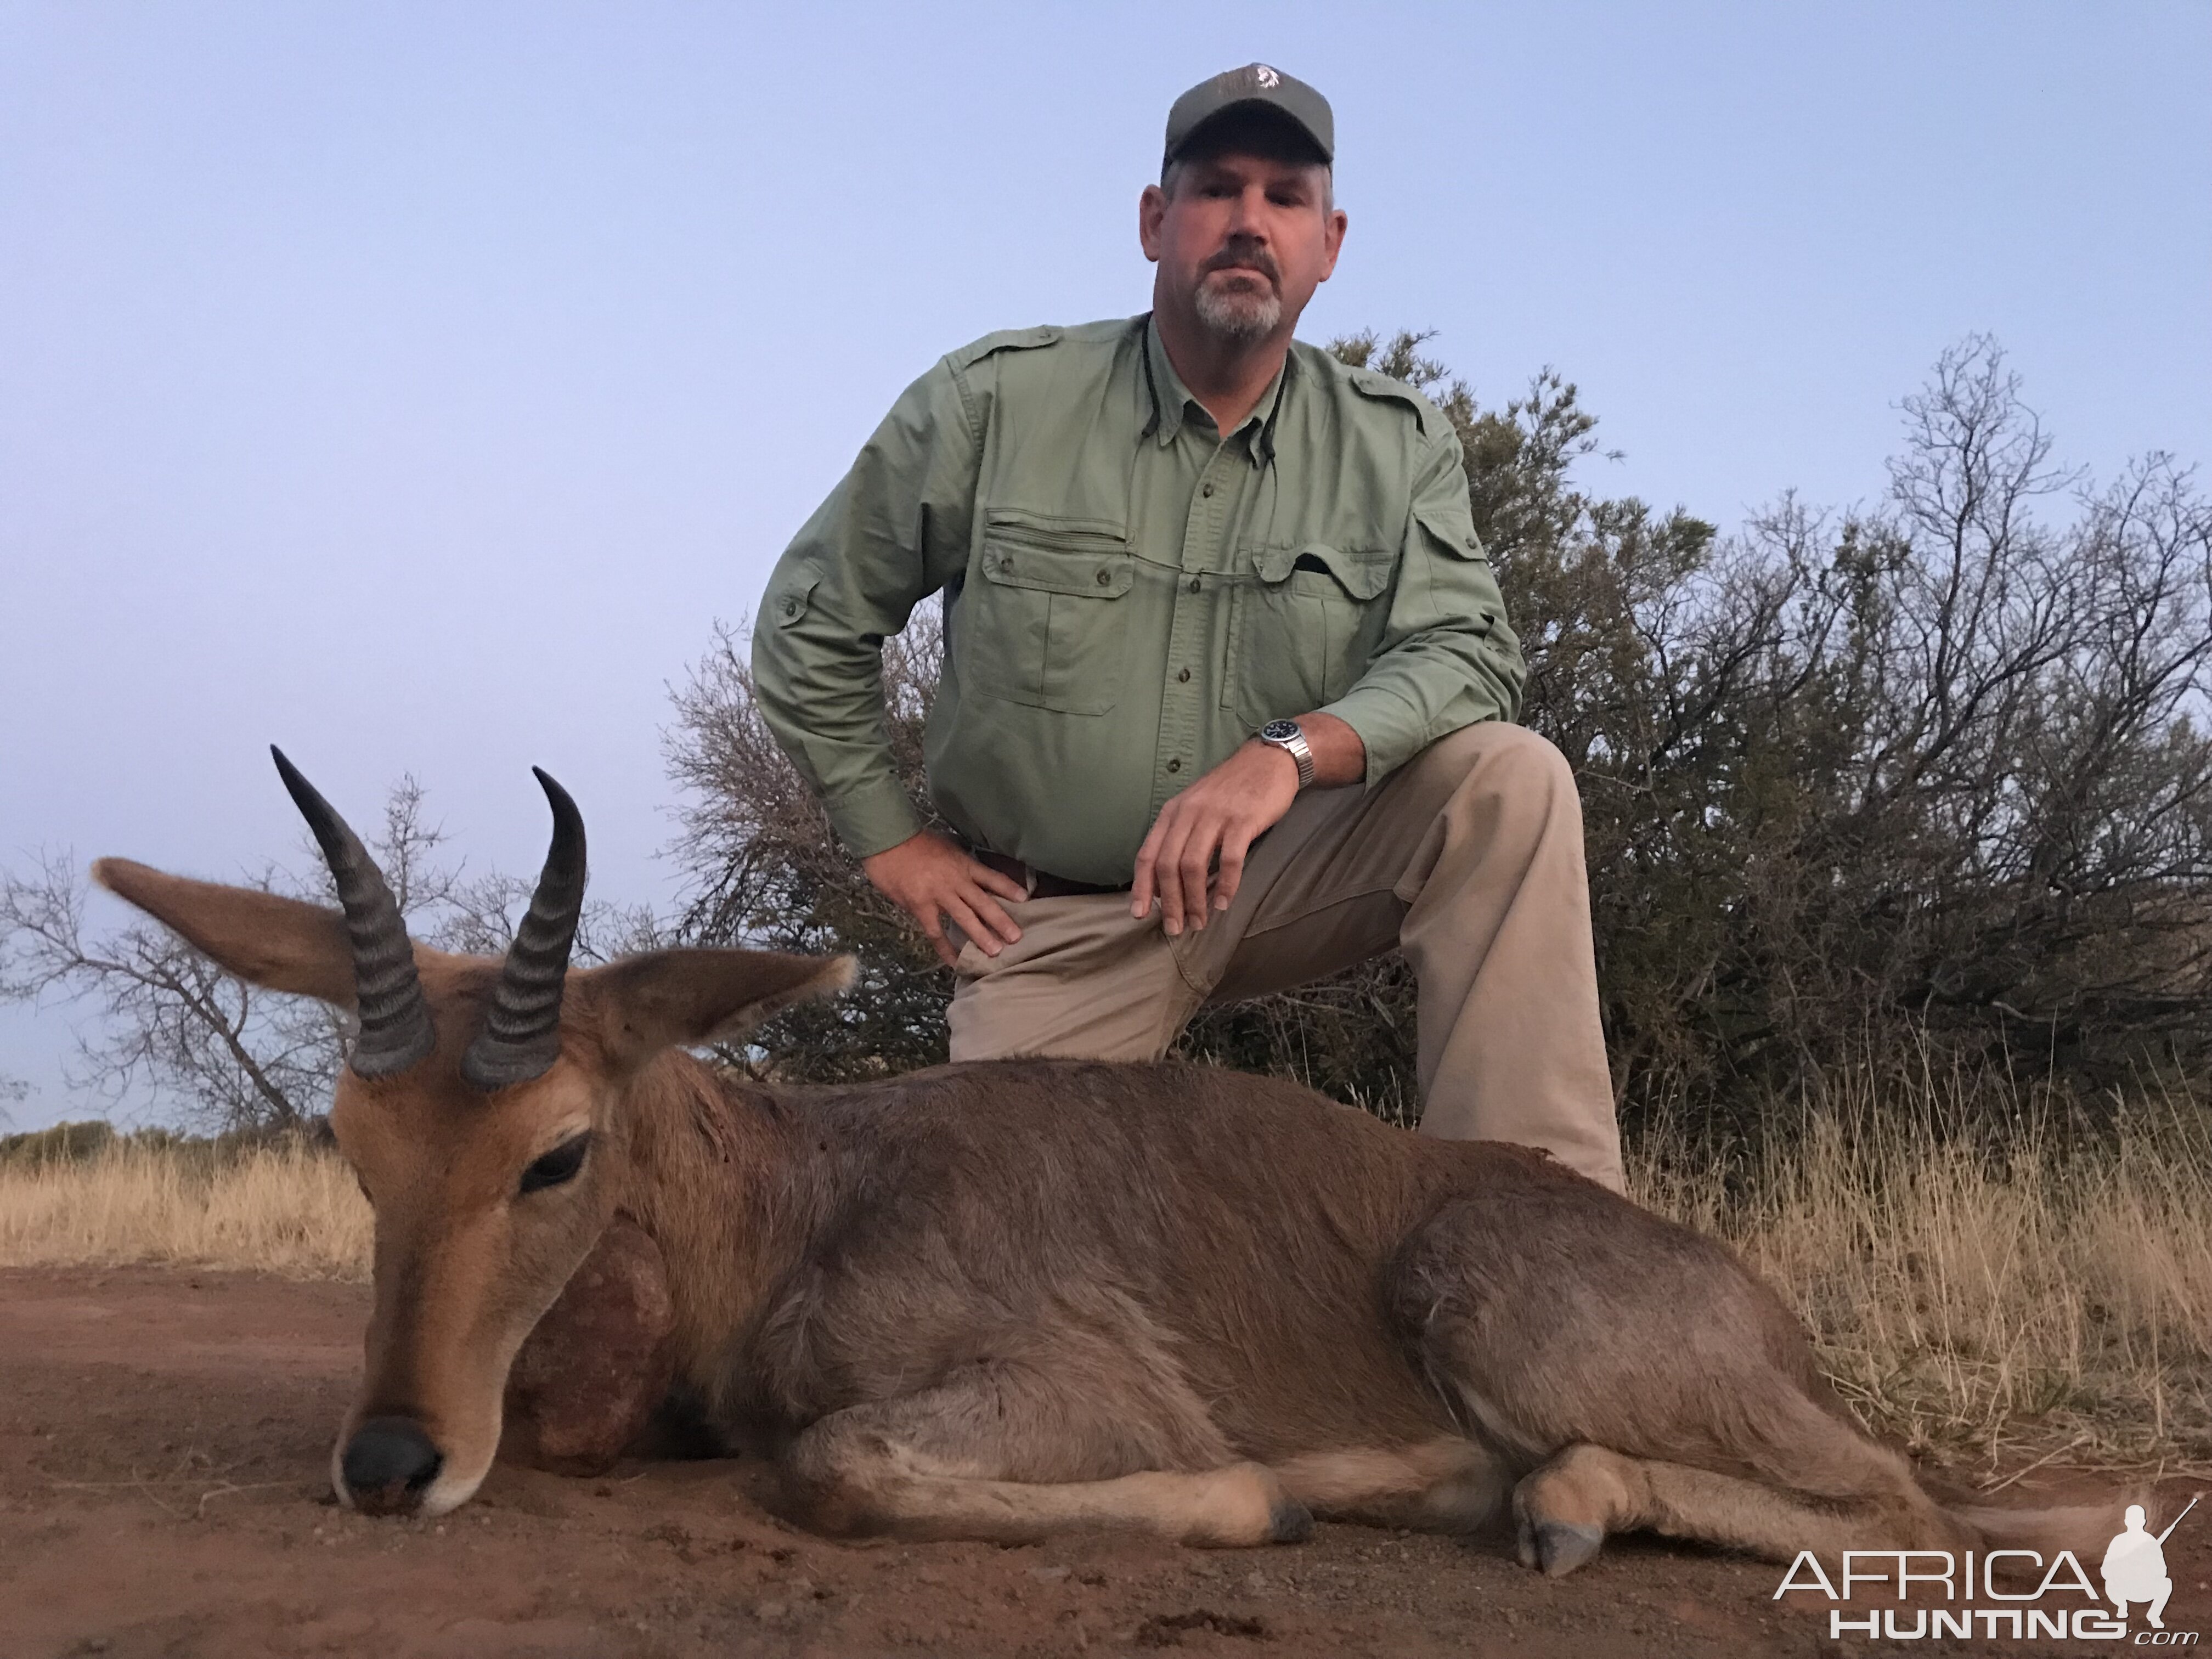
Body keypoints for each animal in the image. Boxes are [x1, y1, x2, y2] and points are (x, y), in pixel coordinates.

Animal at [95, 761, 2097, 1575]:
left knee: (1908, 1509)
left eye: (555, 1151)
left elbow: (836, 1469)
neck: (798, 1204)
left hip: (1499, 1316)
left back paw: (1533, 1498)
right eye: (354, 1143)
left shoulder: (1068, 1392)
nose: (388, 1462)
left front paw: (1270, 1501)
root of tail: (1762, 1310)